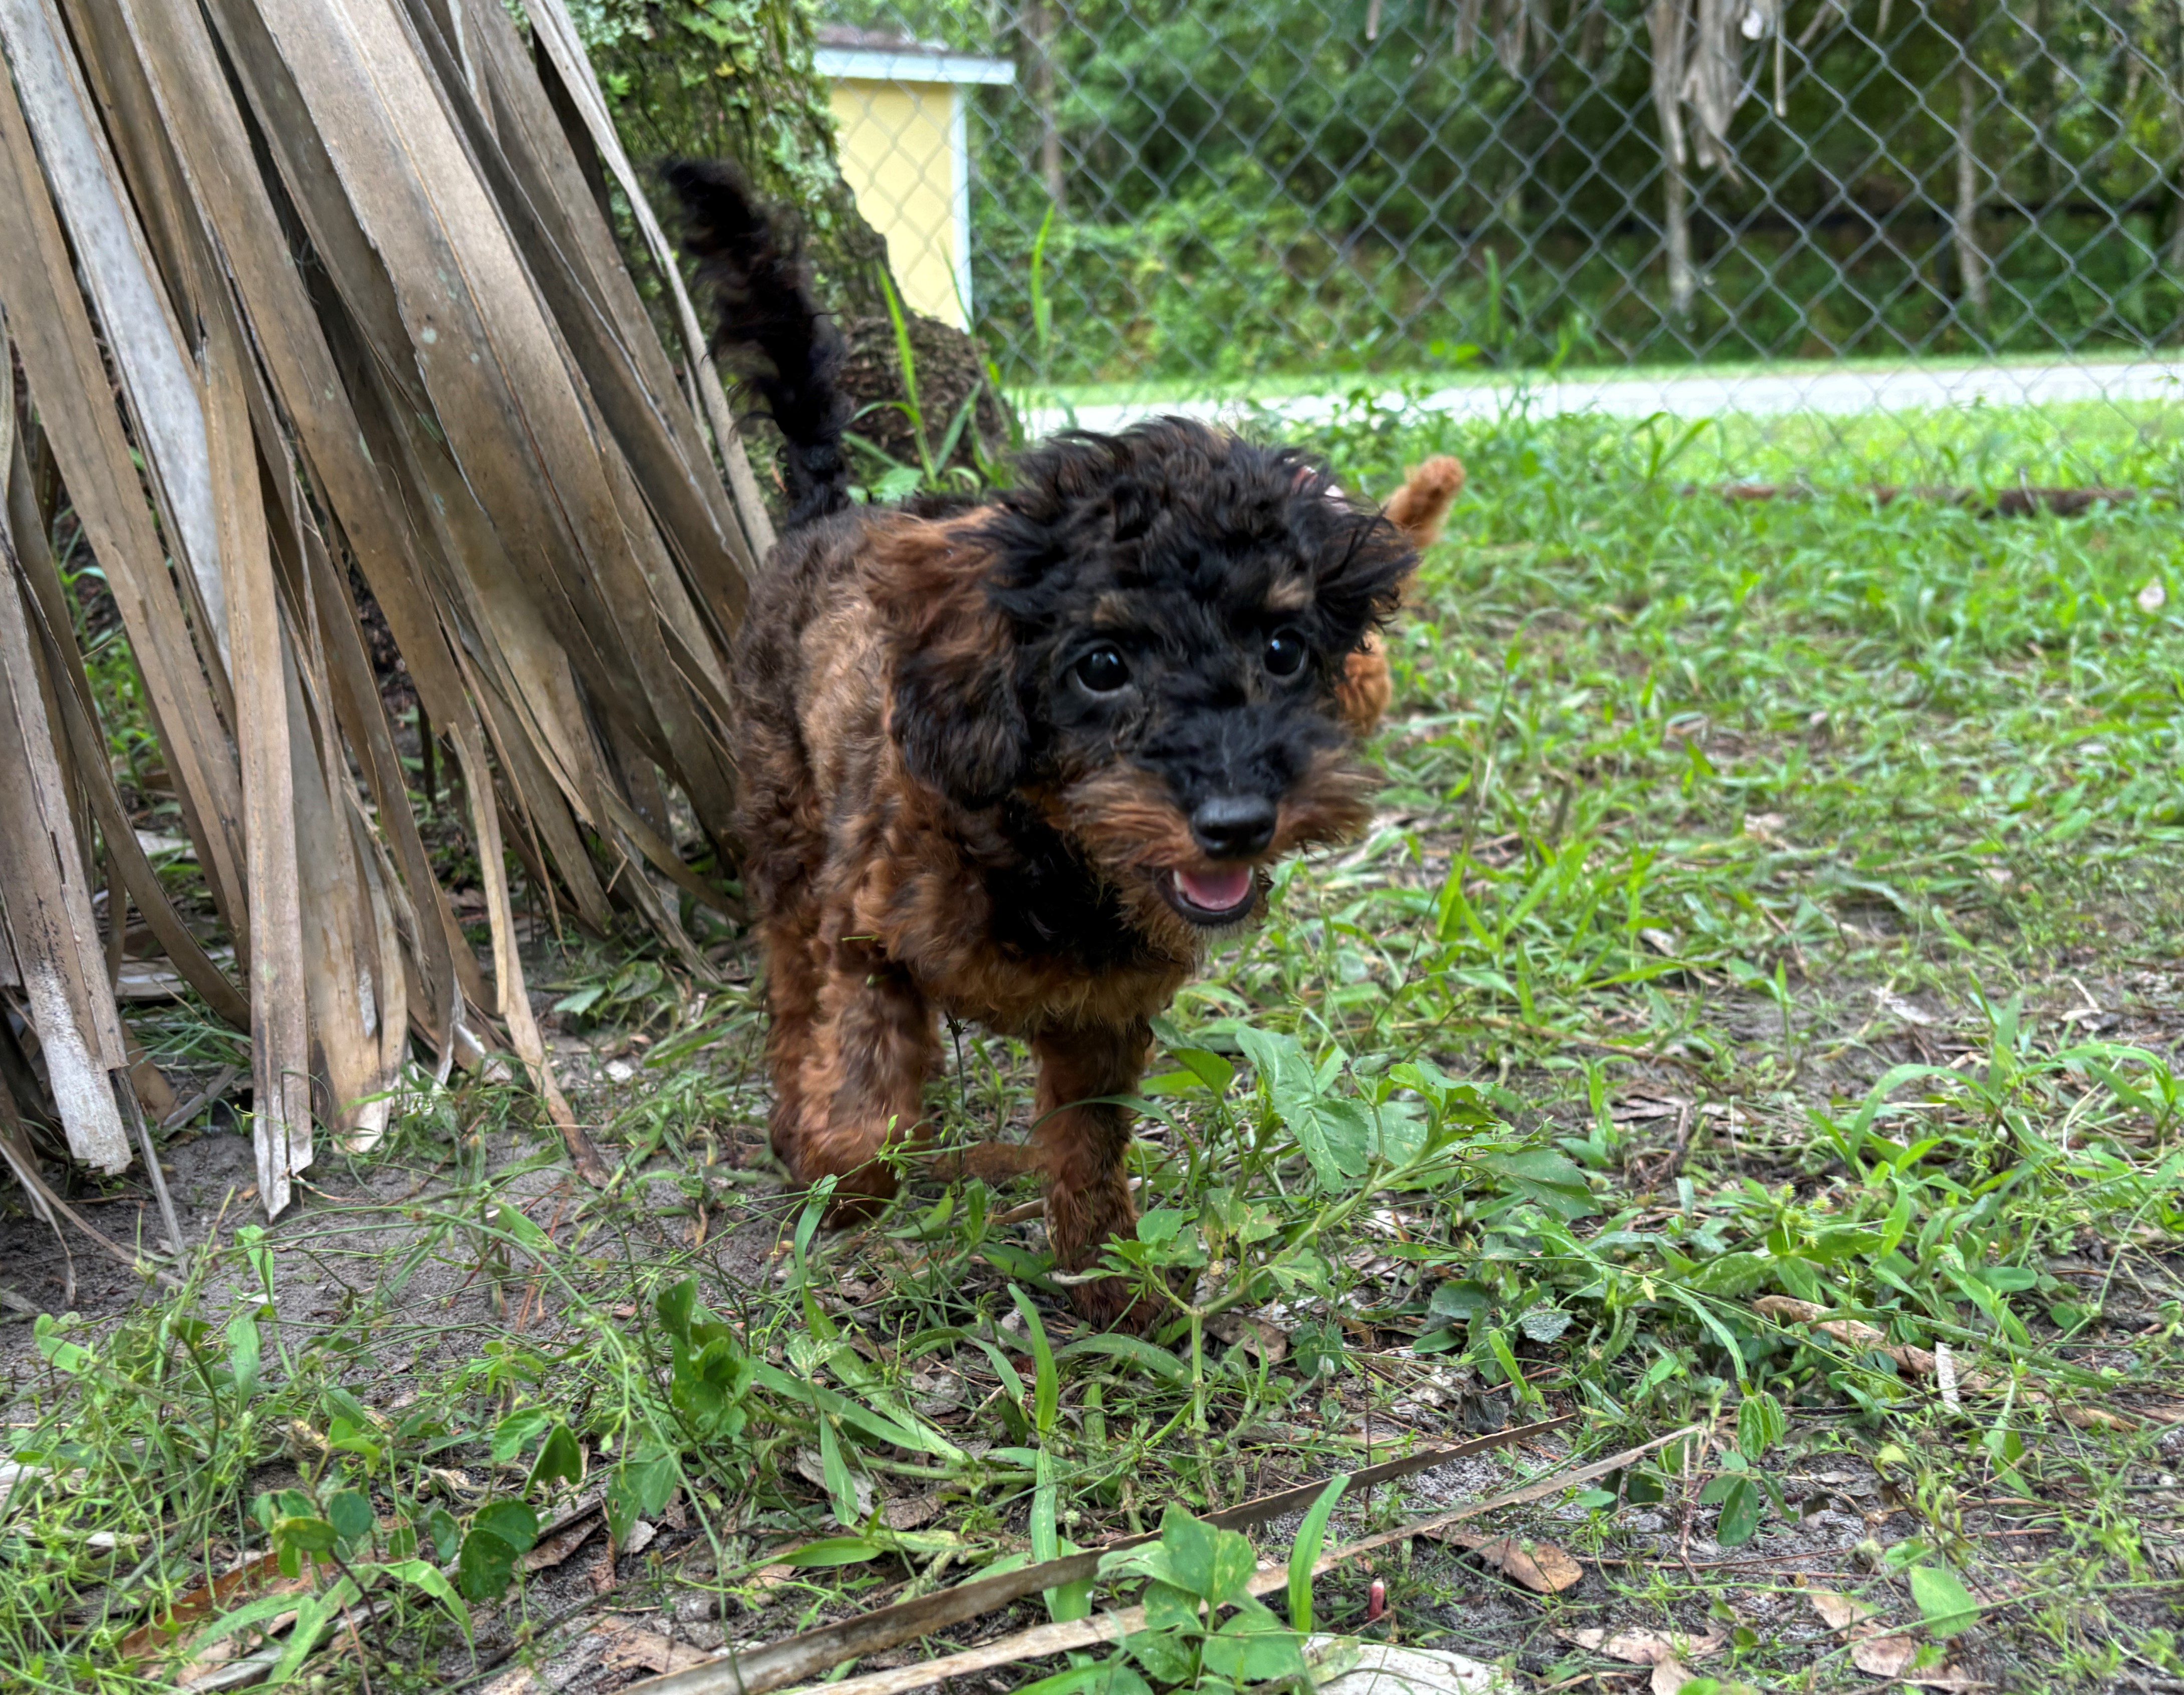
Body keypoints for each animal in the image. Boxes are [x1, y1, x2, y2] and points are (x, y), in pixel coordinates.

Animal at [668, 162, 1415, 1328]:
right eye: (1100, 665)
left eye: (1285, 647)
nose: (1237, 821)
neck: (1051, 857)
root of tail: (826, 514)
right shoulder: (867, 932)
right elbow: (864, 1109)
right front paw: (840, 1160)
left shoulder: (1103, 1024)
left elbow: (1087, 1153)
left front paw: (1110, 1286)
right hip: (783, 813)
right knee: (789, 970)